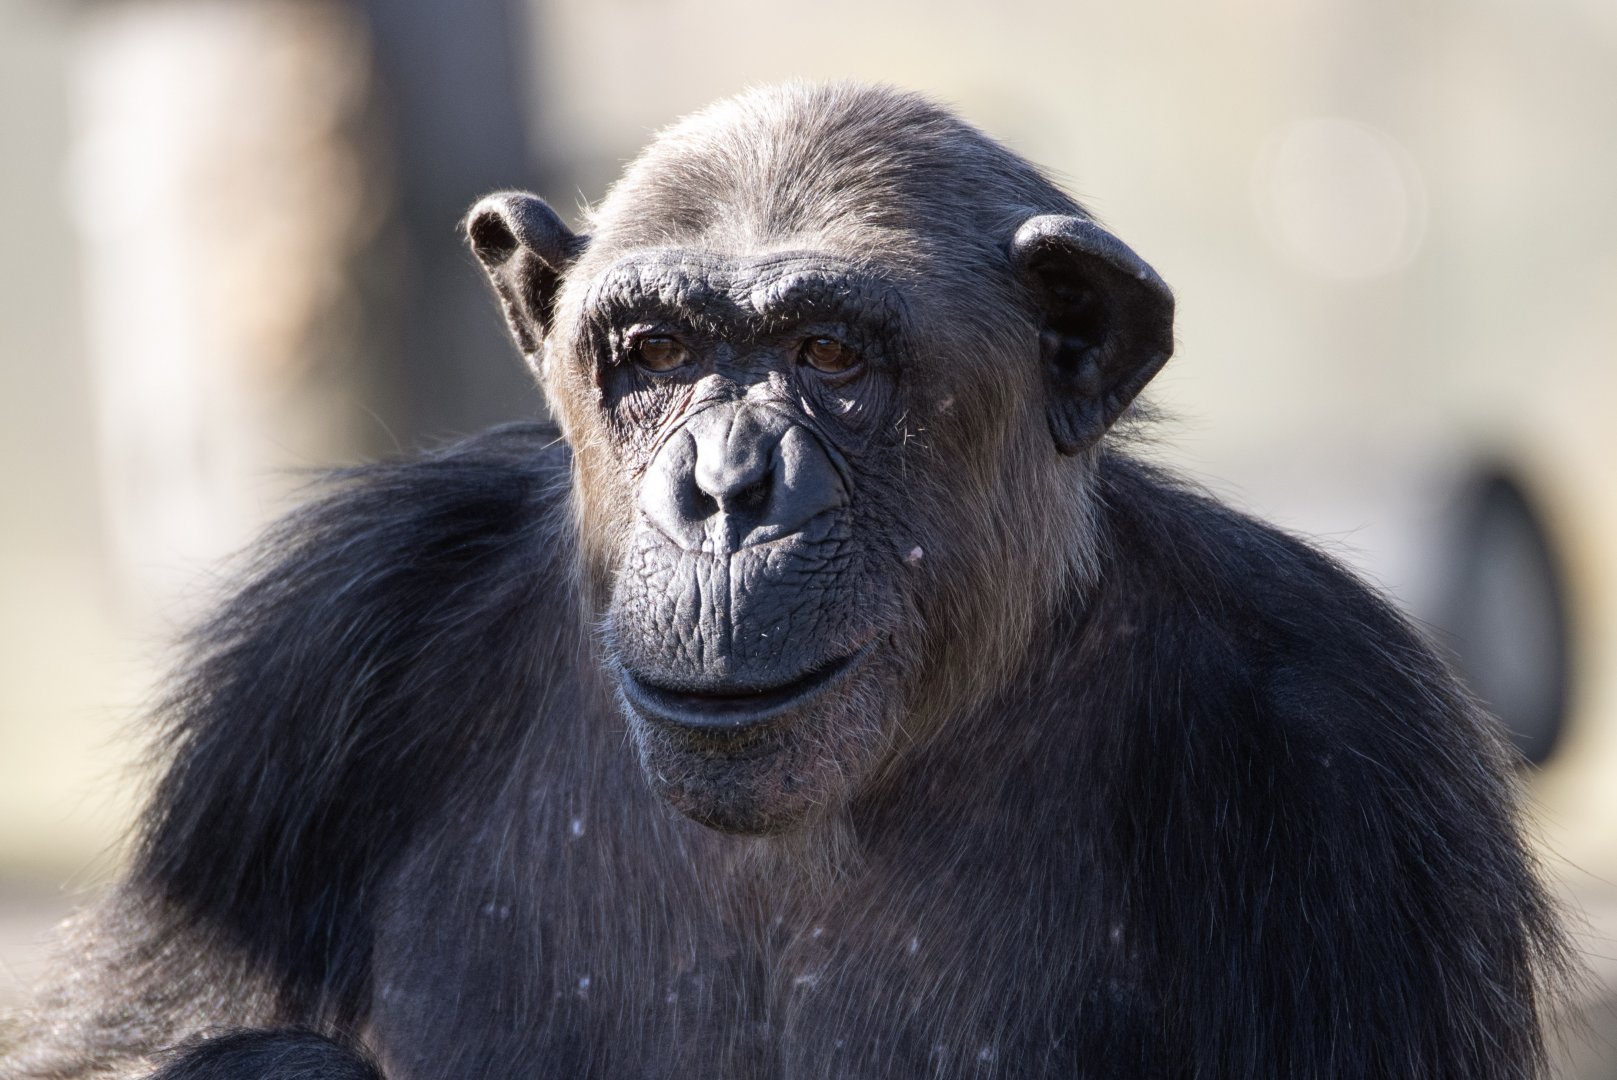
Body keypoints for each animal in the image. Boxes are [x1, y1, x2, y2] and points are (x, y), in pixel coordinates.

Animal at [1, 82, 1569, 1079]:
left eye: (829, 355)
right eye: (655, 353)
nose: (724, 488)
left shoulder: (1352, 759)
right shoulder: (328, 655)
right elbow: (131, 1034)